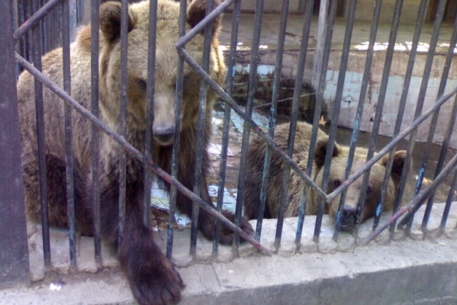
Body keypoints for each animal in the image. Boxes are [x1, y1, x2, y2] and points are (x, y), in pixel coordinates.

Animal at [16, 0, 253, 304]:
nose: (164, 131)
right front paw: (157, 280)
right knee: (59, 191)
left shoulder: (189, 129)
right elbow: (118, 193)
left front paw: (230, 224)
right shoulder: (114, 132)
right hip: (43, 144)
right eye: (143, 81)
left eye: (183, 79)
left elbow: (189, 179)